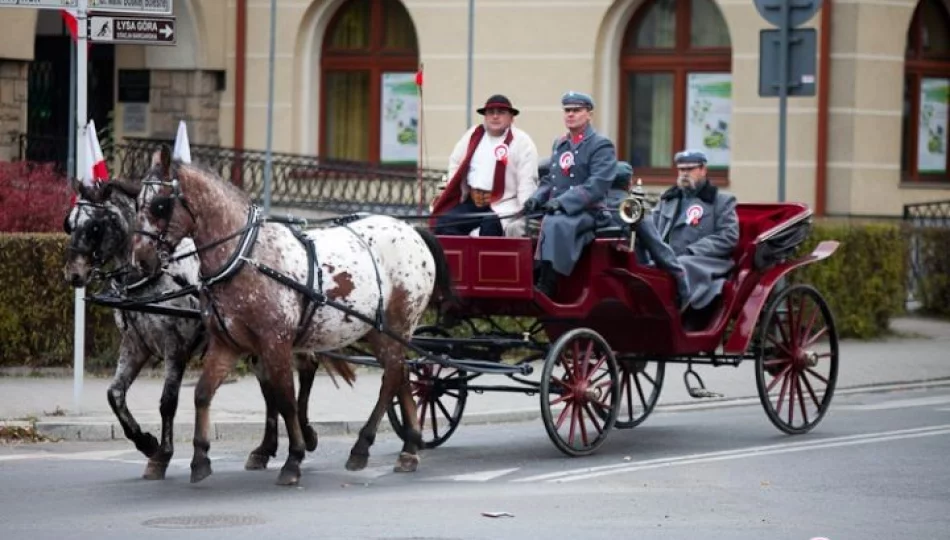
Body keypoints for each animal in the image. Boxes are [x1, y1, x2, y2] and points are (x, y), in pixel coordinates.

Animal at [63, 175, 356, 478]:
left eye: (95, 226)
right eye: (68, 224)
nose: (73, 274)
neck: (156, 276)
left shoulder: (175, 347)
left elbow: (168, 401)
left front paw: (161, 455)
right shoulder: (135, 344)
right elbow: (115, 395)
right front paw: (145, 442)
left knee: (306, 369)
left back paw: (305, 433)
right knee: (271, 390)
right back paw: (265, 449)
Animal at [132, 153, 456, 486]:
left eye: (159, 205)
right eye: (136, 202)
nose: (140, 259)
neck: (246, 255)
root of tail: (412, 231)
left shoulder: (275, 344)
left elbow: (285, 398)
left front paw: (294, 458)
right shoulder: (227, 344)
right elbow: (202, 394)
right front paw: (200, 458)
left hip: (396, 325)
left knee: (391, 377)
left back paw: (362, 447)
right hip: (379, 332)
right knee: (401, 375)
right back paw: (409, 448)